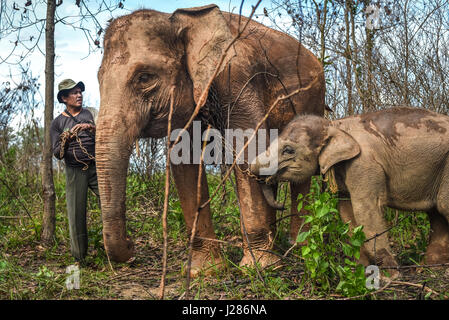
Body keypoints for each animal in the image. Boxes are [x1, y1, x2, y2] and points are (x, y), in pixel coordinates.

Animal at [96, 3, 324, 276]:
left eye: (145, 77)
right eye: (98, 78)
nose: (132, 246)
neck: (177, 19)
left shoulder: (236, 77)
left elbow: (246, 151)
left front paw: (260, 267)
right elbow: (184, 162)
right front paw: (204, 272)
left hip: (313, 100)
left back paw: (298, 250)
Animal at [250, 106, 448, 272]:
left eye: (288, 150)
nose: (280, 205)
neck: (334, 125)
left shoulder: (363, 164)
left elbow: (366, 210)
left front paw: (390, 276)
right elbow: (346, 212)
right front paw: (361, 270)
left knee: (443, 207)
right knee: (437, 214)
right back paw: (428, 269)